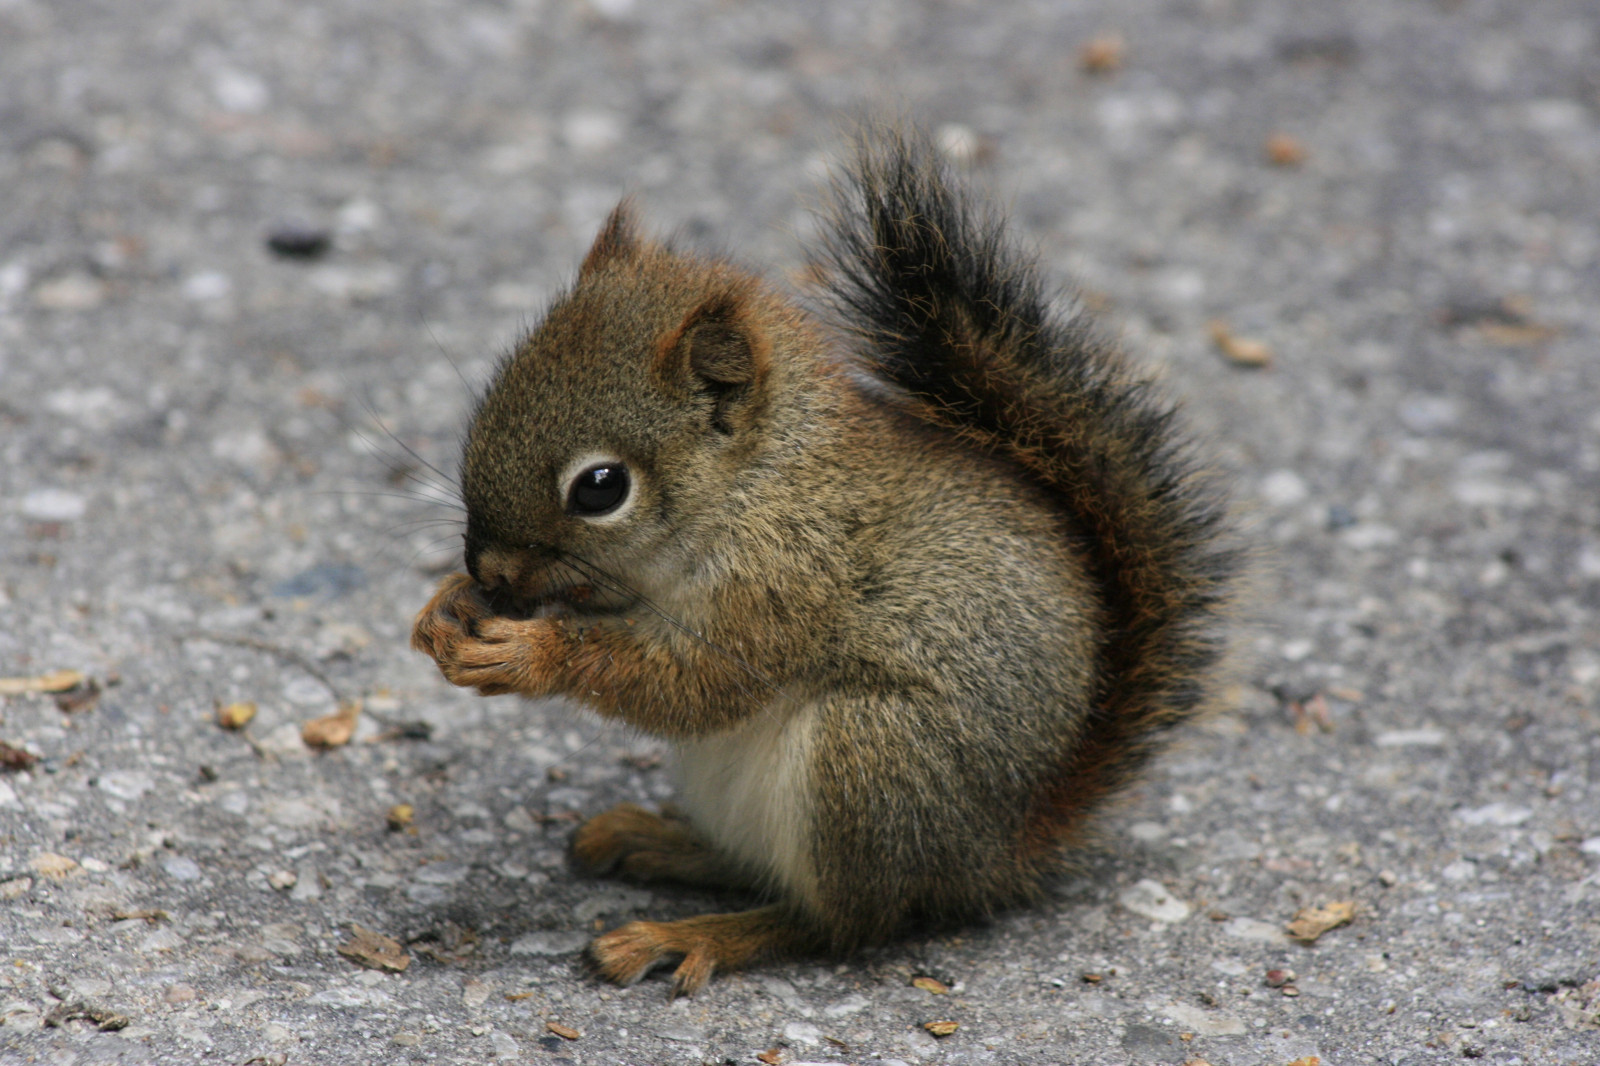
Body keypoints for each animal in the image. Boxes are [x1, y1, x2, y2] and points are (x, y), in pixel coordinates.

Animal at [411, 128, 1238, 996]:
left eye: (601, 488)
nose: (490, 571)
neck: (757, 484)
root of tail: (996, 854)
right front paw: (445, 609)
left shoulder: (785, 581)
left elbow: (697, 683)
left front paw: (528, 653)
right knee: (759, 869)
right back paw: (659, 841)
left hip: (869, 760)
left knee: (839, 923)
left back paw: (693, 934)